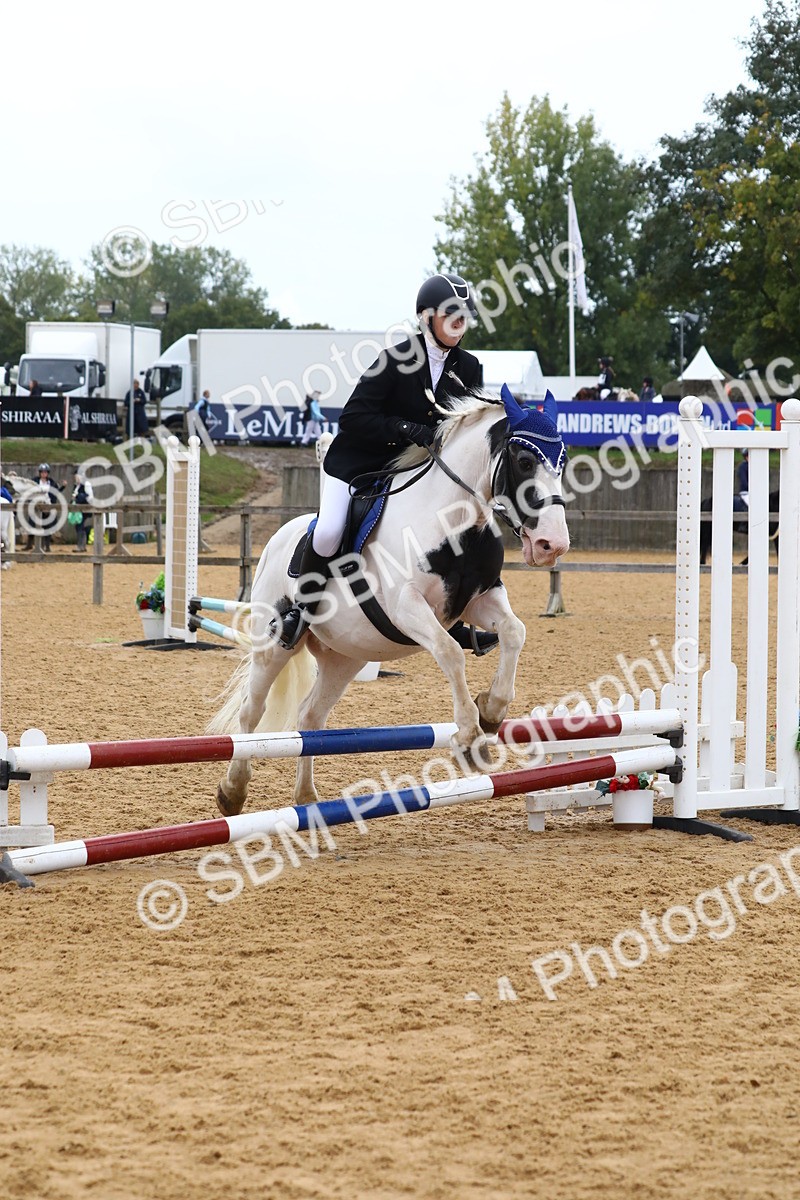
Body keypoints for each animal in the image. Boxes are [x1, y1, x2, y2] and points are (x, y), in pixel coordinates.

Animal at [209, 388, 571, 816]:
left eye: (562, 461)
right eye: (525, 461)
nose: (552, 545)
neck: (451, 521)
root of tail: (277, 539)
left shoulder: (480, 601)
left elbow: (515, 632)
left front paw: (492, 710)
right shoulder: (407, 608)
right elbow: (451, 652)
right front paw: (469, 737)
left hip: (345, 656)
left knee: (311, 716)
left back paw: (308, 801)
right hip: (274, 643)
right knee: (252, 712)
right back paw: (233, 791)